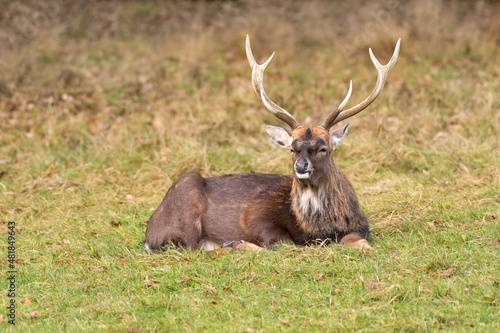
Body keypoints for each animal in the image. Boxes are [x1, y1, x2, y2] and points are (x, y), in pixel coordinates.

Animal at [143, 35, 400, 252]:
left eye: (323, 148)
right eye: (292, 148)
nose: (301, 166)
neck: (317, 229)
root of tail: (149, 234)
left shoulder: (361, 226)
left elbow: (361, 243)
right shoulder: (256, 216)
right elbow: (286, 244)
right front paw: (238, 243)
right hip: (185, 203)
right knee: (193, 249)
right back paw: (232, 244)